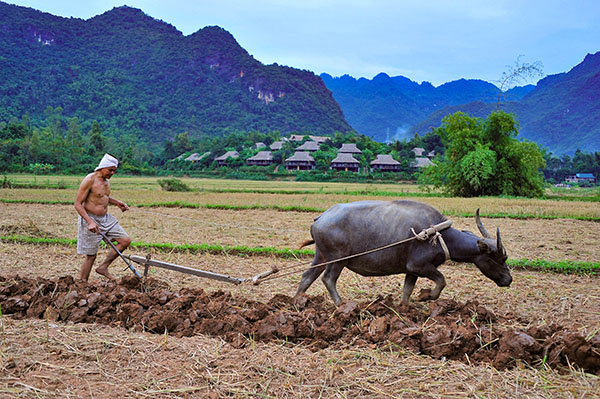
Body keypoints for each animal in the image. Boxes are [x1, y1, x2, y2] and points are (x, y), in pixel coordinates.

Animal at [296, 200, 510, 306]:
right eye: (500, 258)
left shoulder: (411, 271)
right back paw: (340, 304)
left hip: (321, 256)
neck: (440, 235)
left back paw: (297, 302)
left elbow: (407, 290)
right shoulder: (420, 266)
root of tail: (321, 217)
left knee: (307, 276)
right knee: (328, 279)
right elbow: (441, 281)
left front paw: (406, 308)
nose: (509, 279)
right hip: (337, 260)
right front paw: (425, 297)